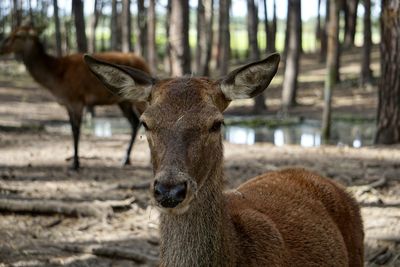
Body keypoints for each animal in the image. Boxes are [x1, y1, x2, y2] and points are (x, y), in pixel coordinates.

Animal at [0, 26, 150, 171]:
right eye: (12, 31)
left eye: (18, 35)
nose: (2, 48)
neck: (56, 78)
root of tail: (145, 63)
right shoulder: (68, 103)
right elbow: (72, 128)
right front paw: (74, 161)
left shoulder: (77, 99)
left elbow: (77, 130)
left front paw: (76, 164)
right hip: (123, 102)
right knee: (134, 122)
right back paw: (125, 159)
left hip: (139, 99)